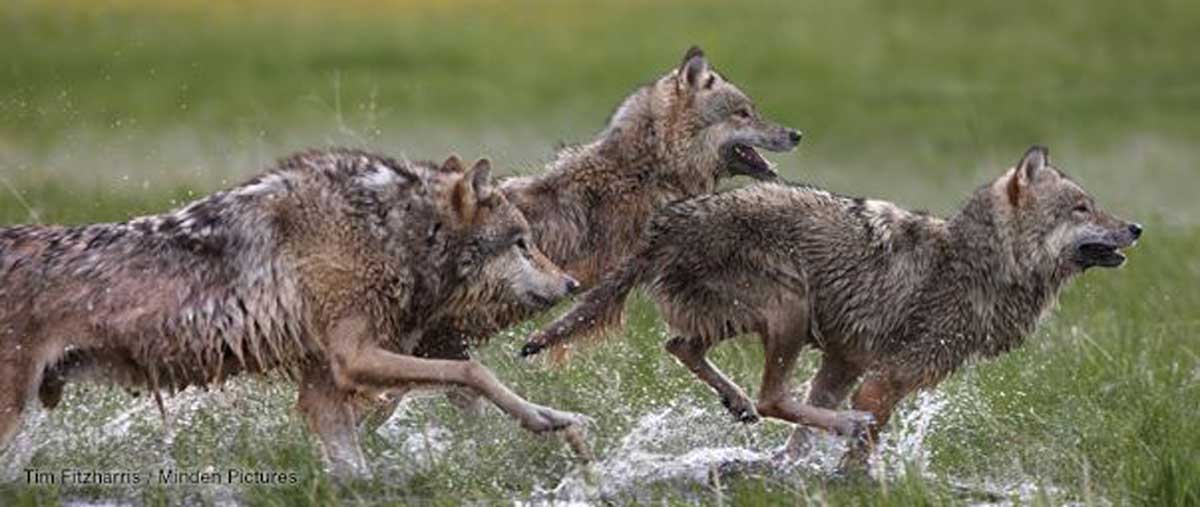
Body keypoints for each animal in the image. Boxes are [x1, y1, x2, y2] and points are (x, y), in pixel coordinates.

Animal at [0, 149, 583, 478]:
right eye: (523, 243)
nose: (573, 283)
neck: (390, 229)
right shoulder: (354, 358)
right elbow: (471, 370)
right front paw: (548, 420)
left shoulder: (323, 387)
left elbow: (356, 474)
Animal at [522, 146, 1142, 468]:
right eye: (1083, 207)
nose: (1136, 227)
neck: (974, 264)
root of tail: (663, 223)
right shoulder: (883, 381)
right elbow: (856, 449)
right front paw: (850, 478)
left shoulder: (846, 362)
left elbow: (801, 440)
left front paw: (786, 475)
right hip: (789, 309)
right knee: (772, 396)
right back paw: (818, 416)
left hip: (753, 321)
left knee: (683, 348)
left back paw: (736, 401)